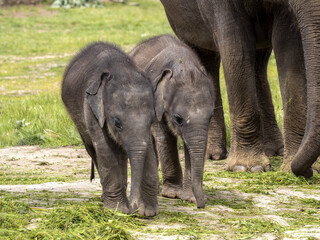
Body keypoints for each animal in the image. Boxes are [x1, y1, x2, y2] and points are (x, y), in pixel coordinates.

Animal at [61, 42, 159, 217]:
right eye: (117, 123)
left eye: (152, 120)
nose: (133, 208)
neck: (121, 69)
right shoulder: (91, 110)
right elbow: (105, 149)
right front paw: (118, 210)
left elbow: (147, 149)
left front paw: (147, 212)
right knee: (93, 150)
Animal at [131, 34, 218, 208]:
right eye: (178, 119)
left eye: (211, 116)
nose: (201, 204)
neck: (182, 65)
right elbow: (165, 136)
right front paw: (172, 195)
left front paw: (189, 197)